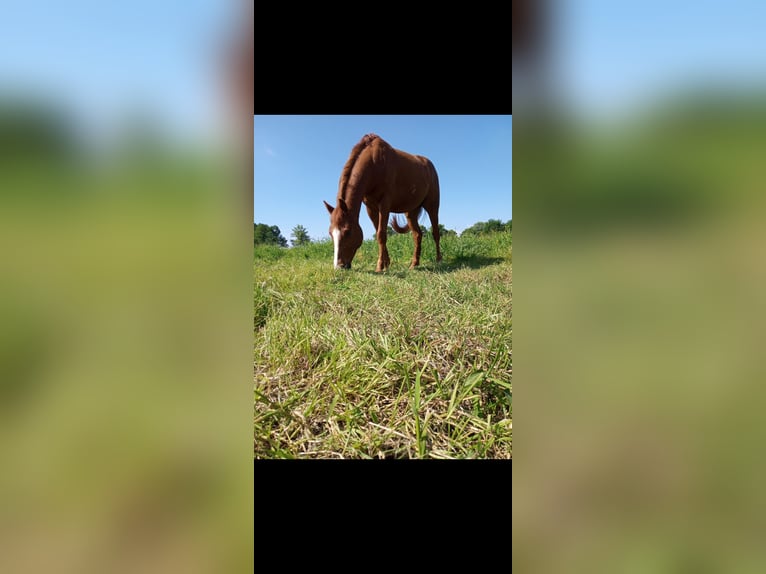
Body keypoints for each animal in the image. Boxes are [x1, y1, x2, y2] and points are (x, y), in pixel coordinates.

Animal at [324, 134, 444, 274]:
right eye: (330, 233)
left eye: (347, 231)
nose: (339, 266)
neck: (374, 165)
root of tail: (429, 165)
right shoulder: (370, 208)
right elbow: (378, 232)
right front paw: (386, 263)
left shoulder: (385, 205)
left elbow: (381, 234)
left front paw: (380, 266)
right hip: (411, 212)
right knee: (417, 234)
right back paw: (414, 264)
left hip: (432, 206)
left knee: (435, 232)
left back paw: (439, 260)